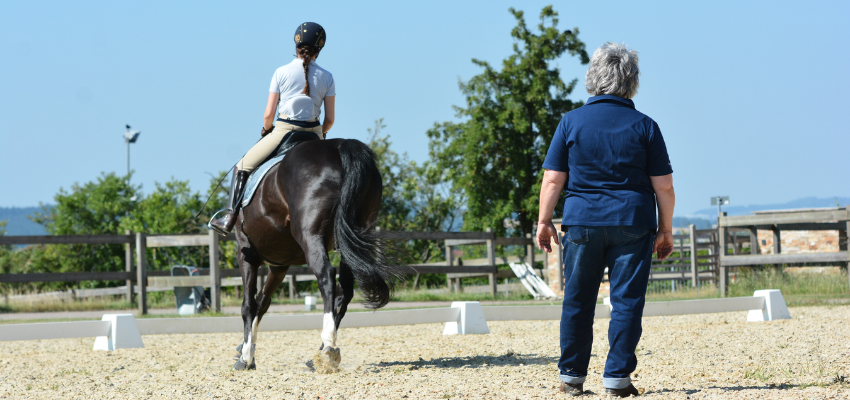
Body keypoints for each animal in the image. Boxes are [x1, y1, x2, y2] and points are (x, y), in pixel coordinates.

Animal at [230, 138, 400, 372]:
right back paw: (321, 354)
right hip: (351, 238)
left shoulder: (246, 253)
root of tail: (340, 146)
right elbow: (262, 302)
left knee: (326, 276)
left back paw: (327, 346)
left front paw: (246, 357)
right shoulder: (280, 264)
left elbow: (249, 304)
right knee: (344, 291)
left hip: (311, 235)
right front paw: (246, 350)